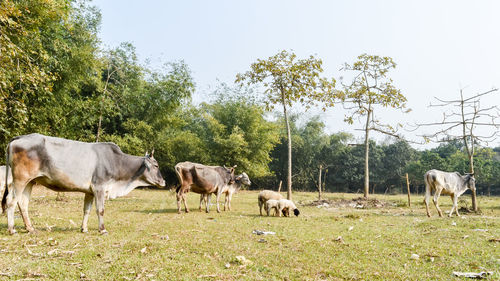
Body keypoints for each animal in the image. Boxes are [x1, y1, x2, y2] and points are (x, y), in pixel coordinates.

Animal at [1, 132, 166, 233]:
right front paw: (102, 229)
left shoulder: (90, 191)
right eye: (156, 165)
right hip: (20, 180)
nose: (163, 181)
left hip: (30, 182)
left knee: (23, 203)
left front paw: (84, 228)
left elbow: (87, 210)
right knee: (11, 201)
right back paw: (12, 229)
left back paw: (30, 228)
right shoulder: (100, 187)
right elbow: (100, 210)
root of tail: (18, 138)